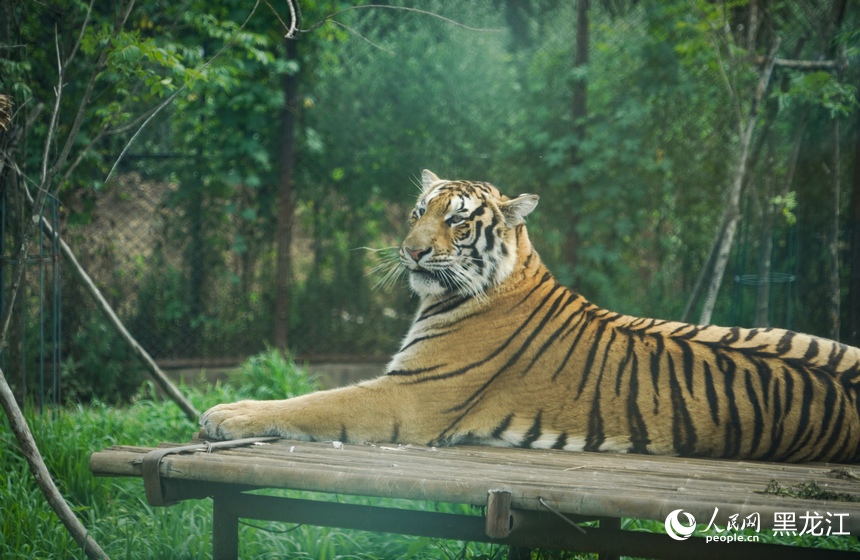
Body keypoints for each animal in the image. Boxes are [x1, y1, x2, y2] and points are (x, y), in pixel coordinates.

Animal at [203, 170, 860, 464]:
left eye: (456, 221)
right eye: (418, 211)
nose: (411, 251)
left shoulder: (409, 395)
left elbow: (313, 401)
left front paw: (225, 414)